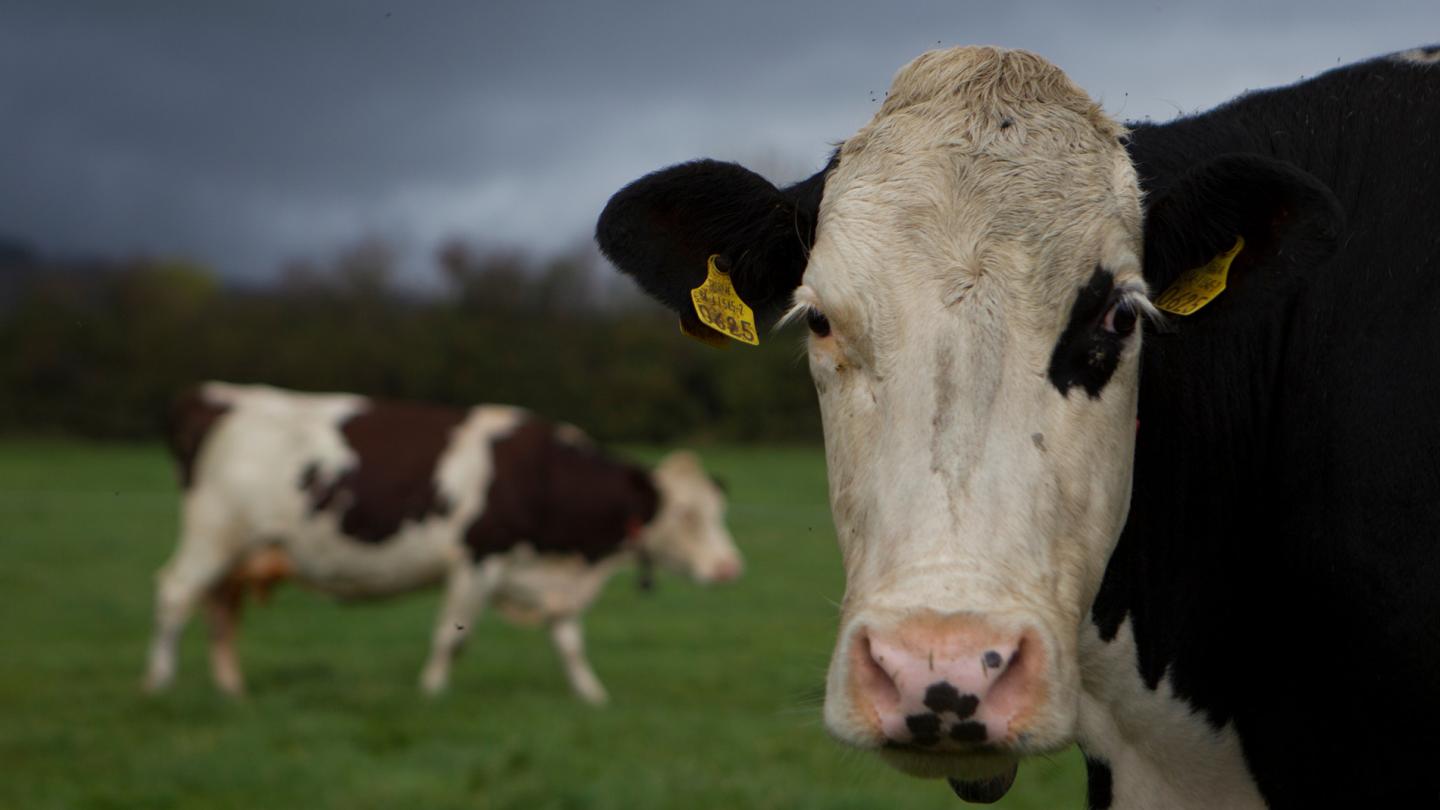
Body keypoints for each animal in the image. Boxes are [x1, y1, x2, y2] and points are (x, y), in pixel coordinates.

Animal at [143, 382, 742, 704]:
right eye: (687, 514)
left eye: (717, 510)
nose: (730, 568)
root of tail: (219, 397)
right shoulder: (477, 560)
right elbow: (452, 637)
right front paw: (432, 692)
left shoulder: (552, 583)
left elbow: (569, 643)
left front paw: (593, 697)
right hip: (214, 536)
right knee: (174, 594)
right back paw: (159, 683)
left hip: (238, 555)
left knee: (219, 611)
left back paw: (230, 689)